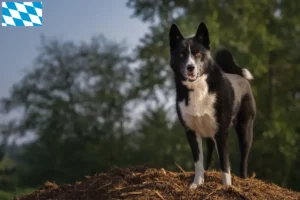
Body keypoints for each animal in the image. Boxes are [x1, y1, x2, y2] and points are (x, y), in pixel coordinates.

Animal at [169, 22, 255, 188]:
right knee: (209, 156)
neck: (198, 88)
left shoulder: (221, 132)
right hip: (209, 133)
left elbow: (225, 163)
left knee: (244, 157)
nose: (190, 67)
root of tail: (240, 77)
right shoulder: (191, 131)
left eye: (197, 53)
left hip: (245, 129)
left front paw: (227, 187)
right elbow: (198, 162)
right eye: (182, 54)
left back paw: (244, 179)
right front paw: (196, 184)